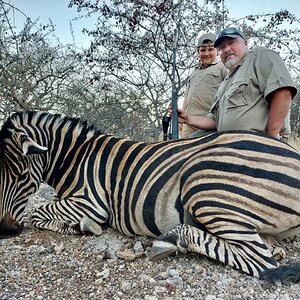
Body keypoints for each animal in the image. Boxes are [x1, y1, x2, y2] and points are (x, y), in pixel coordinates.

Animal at [0, 110, 298, 282]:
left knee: (260, 260)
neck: (75, 157)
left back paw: (171, 240)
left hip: (203, 184)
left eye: (21, 176)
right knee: (267, 247)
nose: (5, 229)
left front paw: (81, 226)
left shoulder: (91, 202)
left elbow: (36, 212)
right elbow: (42, 210)